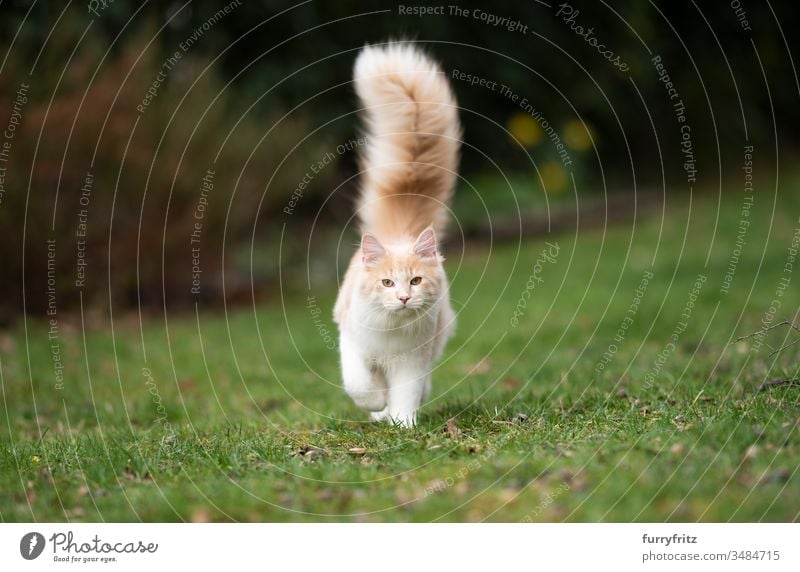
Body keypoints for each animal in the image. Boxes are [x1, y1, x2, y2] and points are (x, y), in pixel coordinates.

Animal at [332, 42, 462, 426]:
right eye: (387, 283)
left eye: (415, 281)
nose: (404, 298)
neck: (392, 330)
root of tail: (400, 232)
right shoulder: (352, 343)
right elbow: (361, 385)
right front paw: (377, 407)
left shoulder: (411, 362)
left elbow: (405, 394)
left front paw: (403, 425)